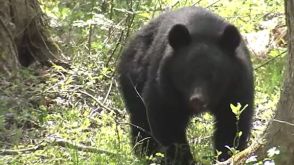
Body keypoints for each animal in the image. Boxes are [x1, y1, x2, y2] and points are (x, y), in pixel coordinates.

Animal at [118, 5, 254, 164]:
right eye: (187, 75)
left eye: (213, 76)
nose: (197, 100)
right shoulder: (165, 84)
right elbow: (165, 117)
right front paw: (183, 158)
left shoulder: (236, 87)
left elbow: (233, 121)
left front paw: (227, 155)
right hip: (134, 74)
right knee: (139, 116)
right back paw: (145, 152)